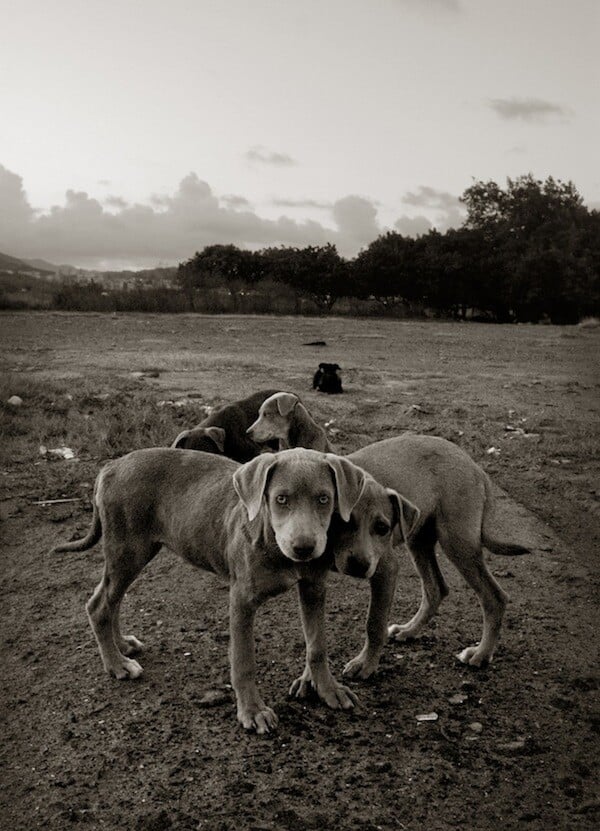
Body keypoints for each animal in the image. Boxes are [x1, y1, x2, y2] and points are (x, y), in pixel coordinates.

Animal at [246, 394, 528, 672]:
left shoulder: (386, 568)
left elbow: (374, 623)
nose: (248, 433)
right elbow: (313, 634)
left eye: (267, 414)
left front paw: (365, 665)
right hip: (419, 539)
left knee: (494, 597)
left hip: (458, 542)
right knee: (435, 589)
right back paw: (409, 630)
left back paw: (481, 653)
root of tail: (473, 464)